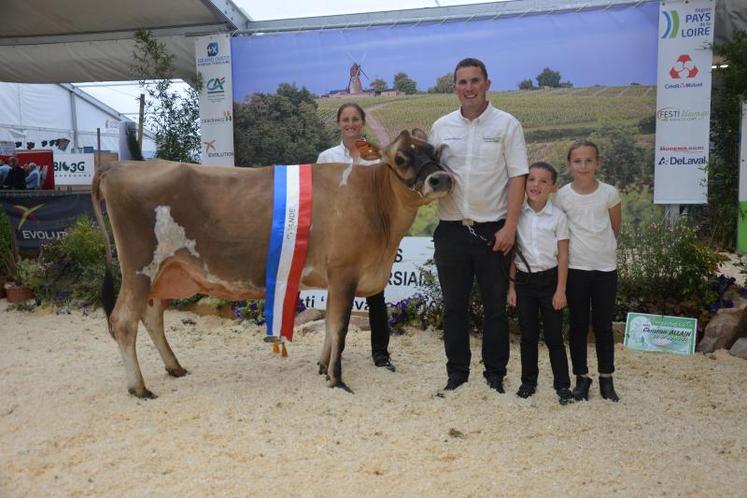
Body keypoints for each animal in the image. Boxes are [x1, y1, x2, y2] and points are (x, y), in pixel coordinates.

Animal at [94, 130, 452, 398]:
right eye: (400, 158)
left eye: (435, 151)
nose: (440, 179)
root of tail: (120, 167)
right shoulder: (344, 273)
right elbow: (339, 327)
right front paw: (337, 379)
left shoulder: (336, 278)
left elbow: (329, 324)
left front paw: (322, 366)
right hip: (140, 267)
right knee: (123, 321)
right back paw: (139, 388)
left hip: (164, 271)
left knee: (152, 317)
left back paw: (175, 367)